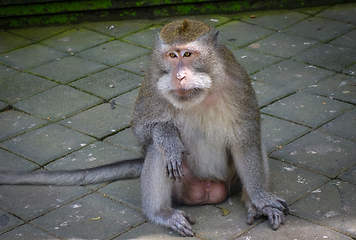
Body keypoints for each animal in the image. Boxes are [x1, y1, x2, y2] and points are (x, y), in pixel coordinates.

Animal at [0, 19, 288, 237]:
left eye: (188, 54)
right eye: (171, 56)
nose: (179, 76)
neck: (202, 92)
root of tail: (209, 190)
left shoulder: (239, 81)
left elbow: (246, 139)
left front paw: (261, 199)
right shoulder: (151, 82)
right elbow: (143, 131)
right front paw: (168, 137)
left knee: (255, 142)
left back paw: (252, 203)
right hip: (183, 187)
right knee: (157, 152)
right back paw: (160, 213)